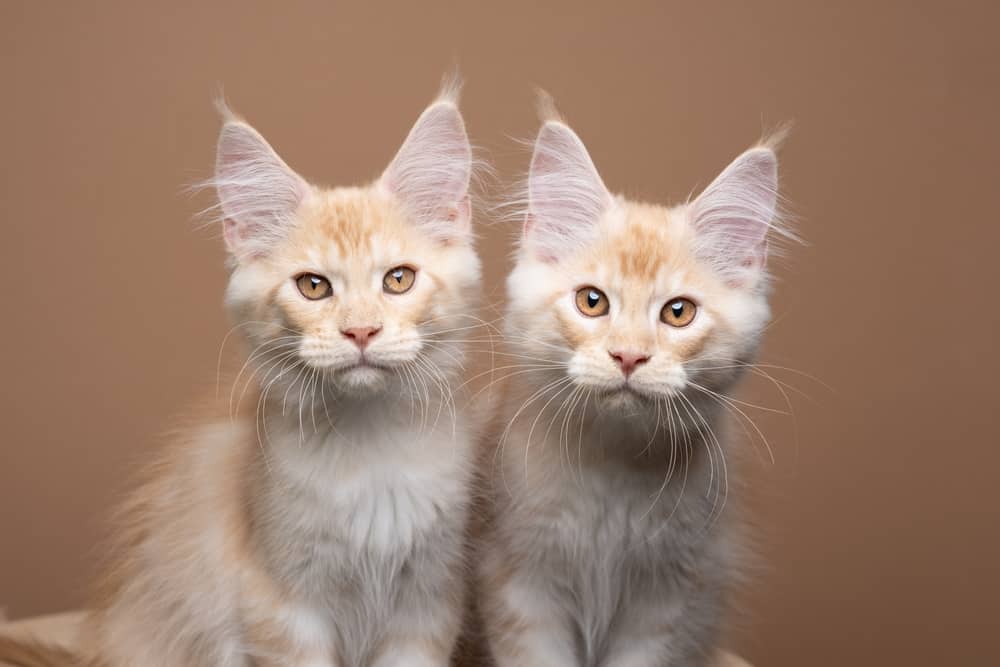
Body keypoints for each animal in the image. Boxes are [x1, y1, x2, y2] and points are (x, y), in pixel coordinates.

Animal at [0, 87, 484, 664]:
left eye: (399, 279)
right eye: (313, 286)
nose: (361, 331)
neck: (370, 449)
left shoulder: (428, 601)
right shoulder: (280, 605)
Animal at [476, 111, 788, 667]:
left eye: (678, 312)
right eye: (592, 301)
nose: (628, 356)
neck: (613, 468)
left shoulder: (669, 599)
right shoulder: (521, 584)